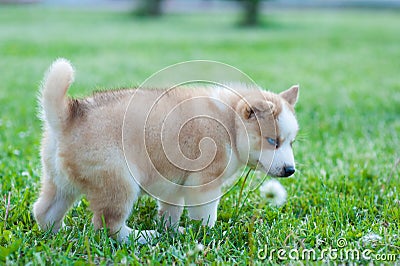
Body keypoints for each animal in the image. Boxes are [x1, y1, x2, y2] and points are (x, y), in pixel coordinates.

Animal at [32, 59, 298, 242]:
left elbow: (171, 210)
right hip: (120, 184)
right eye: (273, 141)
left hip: (60, 183)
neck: (230, 123)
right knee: (108, 226)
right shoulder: (203, 184)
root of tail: (68, 115)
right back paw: (142, 236)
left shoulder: (175, 185)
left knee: (43, 211)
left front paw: (172, 229)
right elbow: (206, 214)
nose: (290, 170)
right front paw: (205, 234)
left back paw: (58, 233)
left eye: (291, 142)